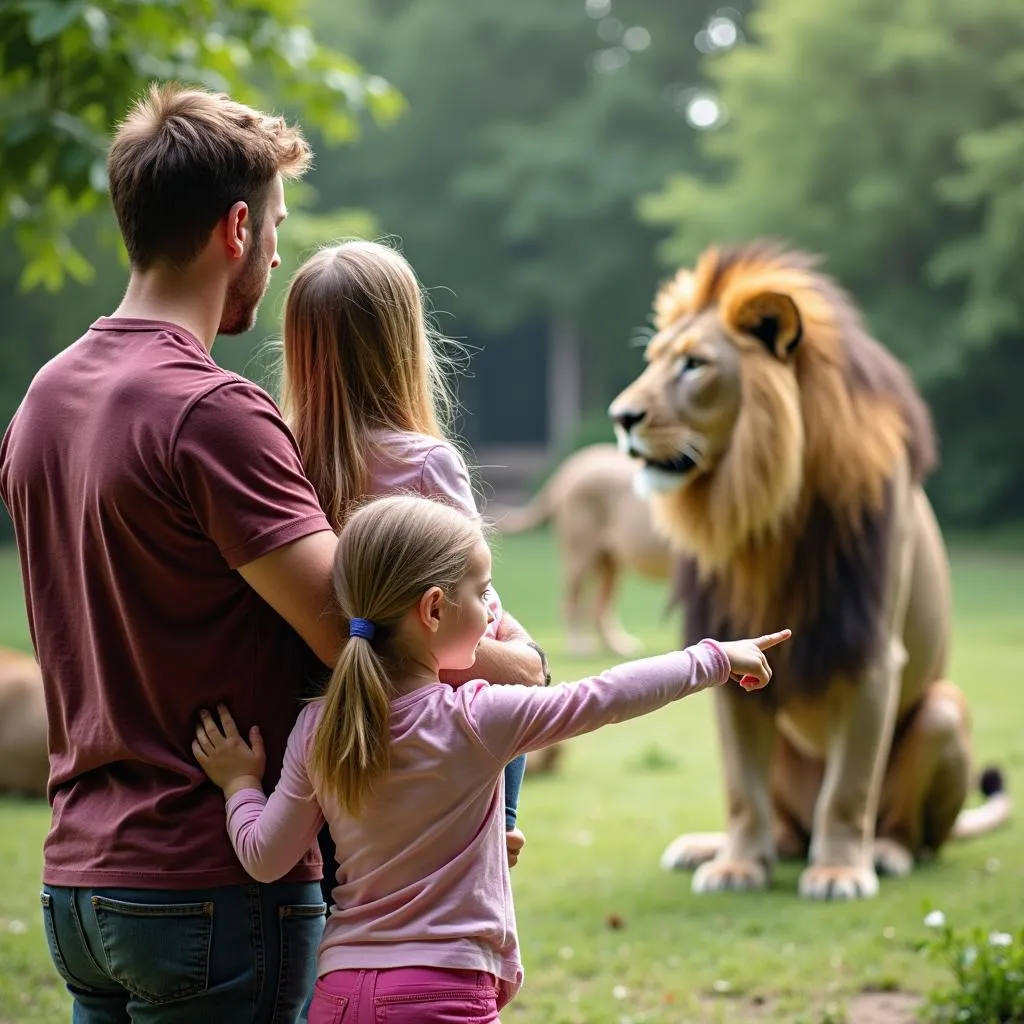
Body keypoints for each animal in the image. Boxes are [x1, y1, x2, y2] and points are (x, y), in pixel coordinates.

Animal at [493, 446, 671, 655]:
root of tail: (569, 469)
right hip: (580, 556)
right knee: (571, 603)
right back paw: (578, 645)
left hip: (608, 563)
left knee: (599, 610)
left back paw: (616, 646)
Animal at [606, 239, 1007, 897]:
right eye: (655, 359)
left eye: (695, 365)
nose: (621, 417)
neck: (765, 511)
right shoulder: (728, 639)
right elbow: (742, 789)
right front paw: (738, 866)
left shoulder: (871, 650)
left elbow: (849, 786)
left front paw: (841, 870)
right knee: (782, 826)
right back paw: (711, 847)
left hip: (943, 711)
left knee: (904, 828)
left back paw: (882, 853)